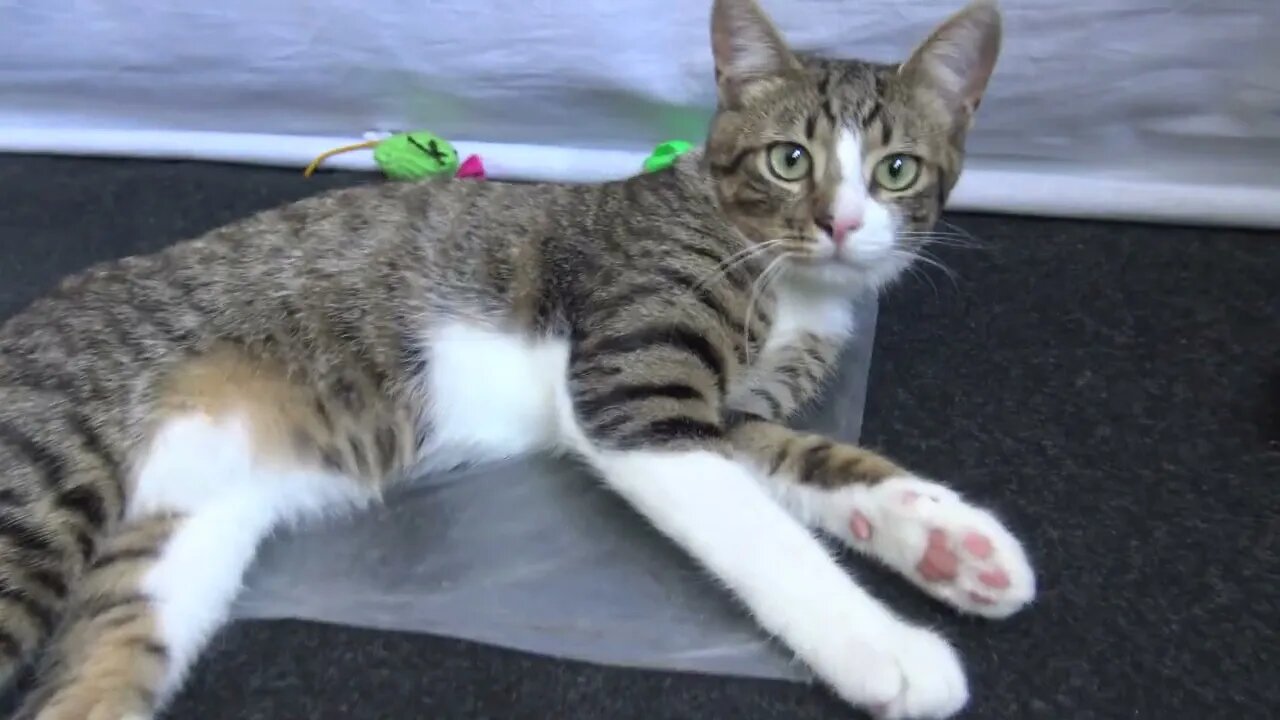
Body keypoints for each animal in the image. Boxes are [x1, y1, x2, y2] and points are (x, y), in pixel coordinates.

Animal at [0, 0, 1029, 712]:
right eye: (788, 159)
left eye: (895, 170)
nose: (841, 223)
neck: (789, 284)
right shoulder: (632, 388)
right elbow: (762, 535)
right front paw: (884, 647)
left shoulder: (724, 415)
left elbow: (806, 457)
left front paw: (947, 541)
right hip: (40, 484)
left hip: (175, 543)